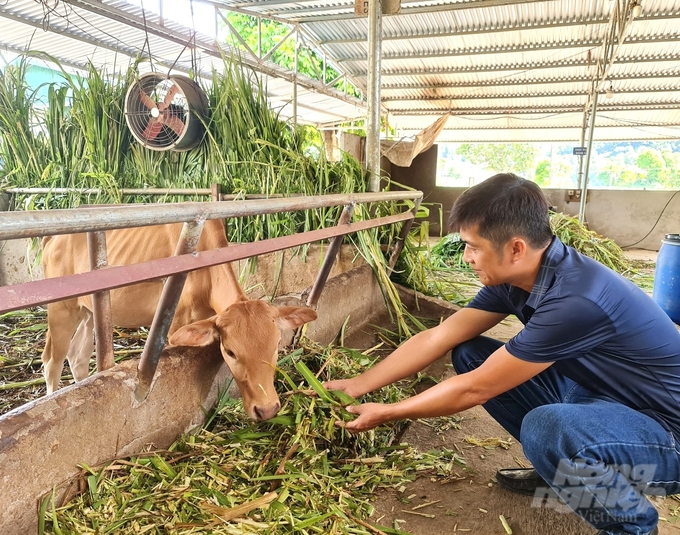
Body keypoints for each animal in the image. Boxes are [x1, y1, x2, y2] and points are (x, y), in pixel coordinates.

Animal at [41, 219, 318, 422]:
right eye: (230, 352)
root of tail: (53, 237)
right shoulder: (174, 324)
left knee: (78, 355)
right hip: (61, 309)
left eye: (276, 346)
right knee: (52, 361)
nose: (267, 409)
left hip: (87, 311)